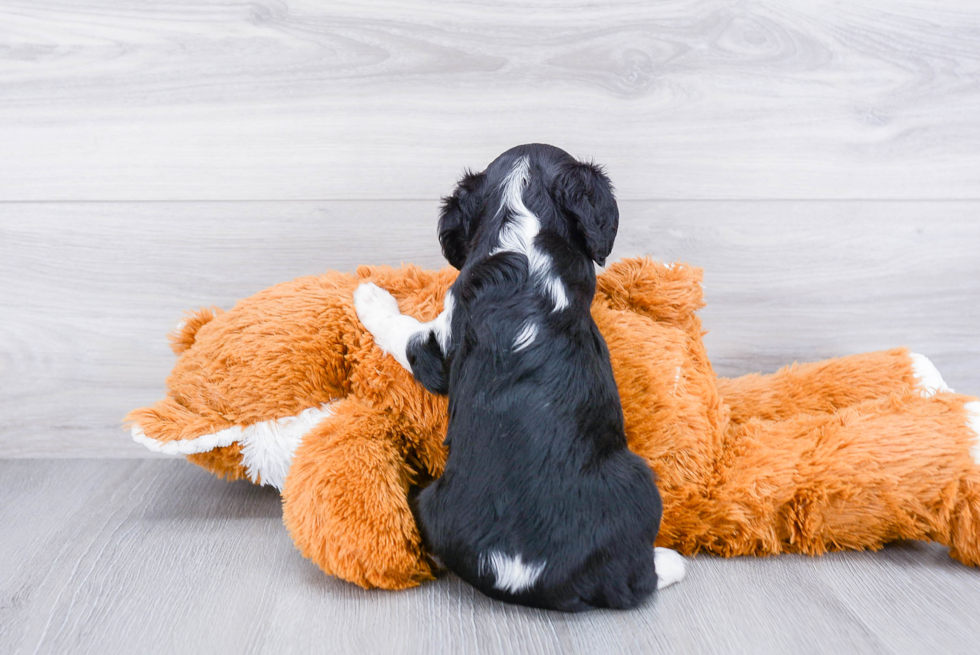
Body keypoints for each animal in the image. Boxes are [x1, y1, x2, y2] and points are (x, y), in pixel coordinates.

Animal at [356, 145, 684, 616]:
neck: (524, 236)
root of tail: (525, 575)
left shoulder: (442, 342)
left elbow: (403, 332)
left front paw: (368, 295)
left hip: (639, 481)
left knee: (636, 584)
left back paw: (672, 561)